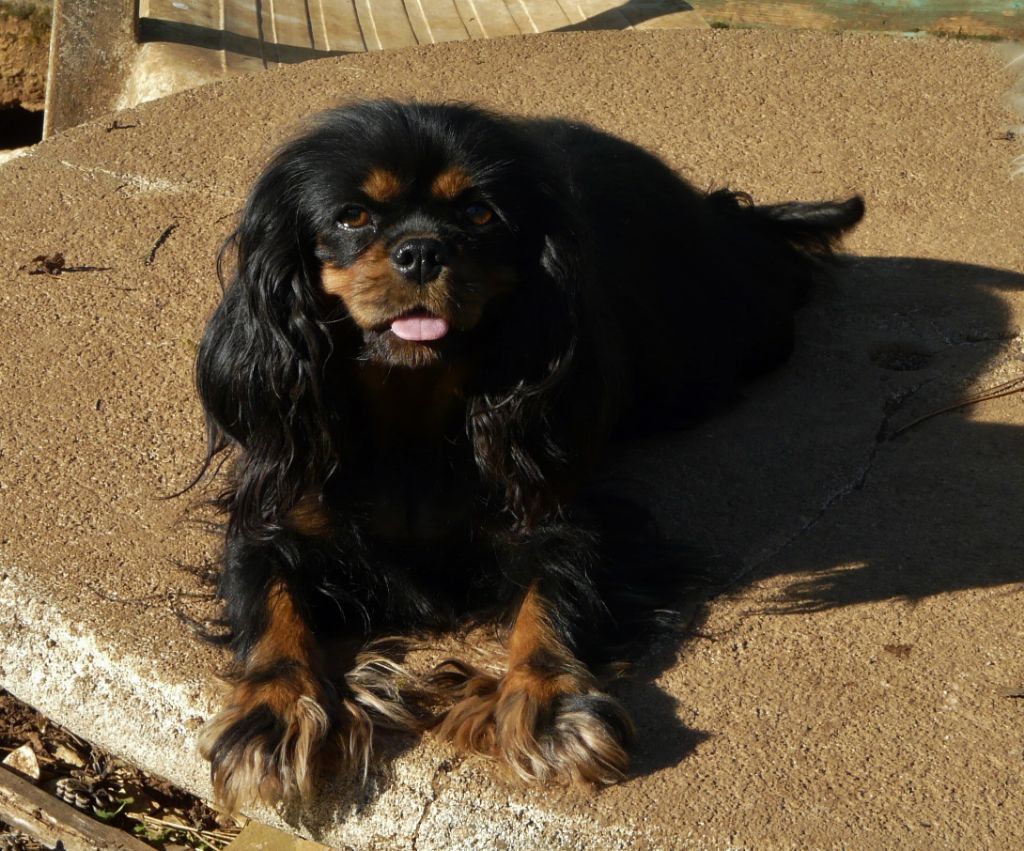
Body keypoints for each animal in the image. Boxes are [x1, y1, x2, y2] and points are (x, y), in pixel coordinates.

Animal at [193, 99, 864, 811]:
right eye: (352, 217)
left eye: (480, 214)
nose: (422, 250)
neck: (412, 404)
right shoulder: (274, 509)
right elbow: (268, 598)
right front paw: (272, 710)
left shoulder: (562, 509)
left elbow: (554, 591)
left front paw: (548, 704)